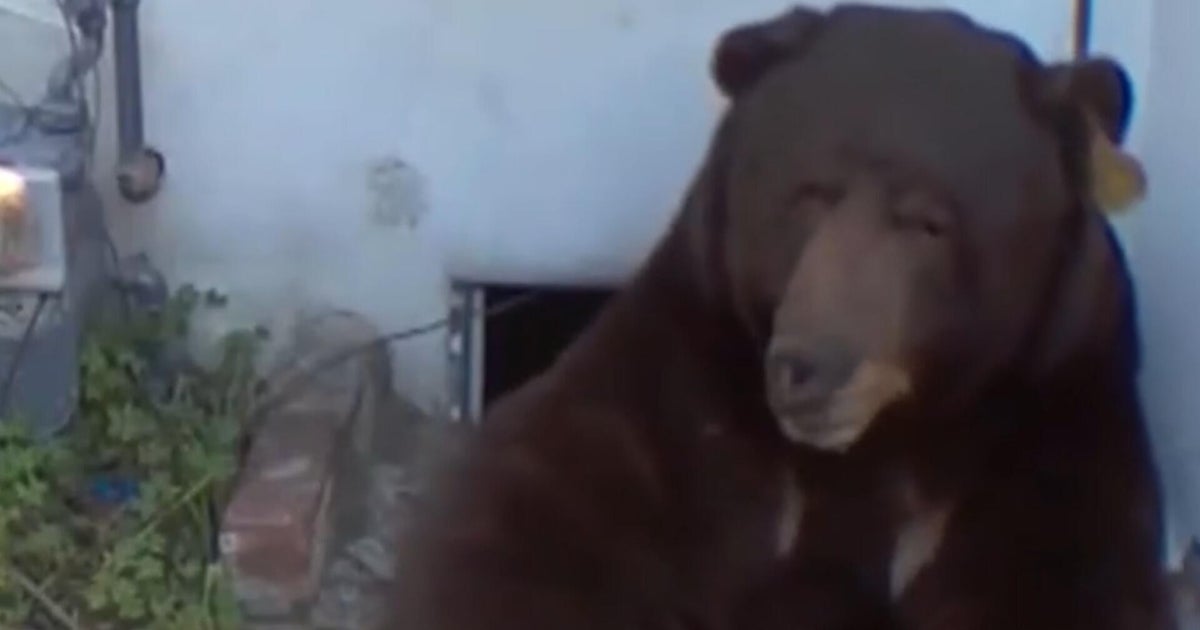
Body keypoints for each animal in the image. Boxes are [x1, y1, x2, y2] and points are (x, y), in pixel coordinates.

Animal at [389, 5, 1173, 630]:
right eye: (810, 192)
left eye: (930, 221)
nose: (811, 367)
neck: (868, 453)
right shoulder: (667, 421)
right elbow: (519, 540)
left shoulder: (1050, 445)